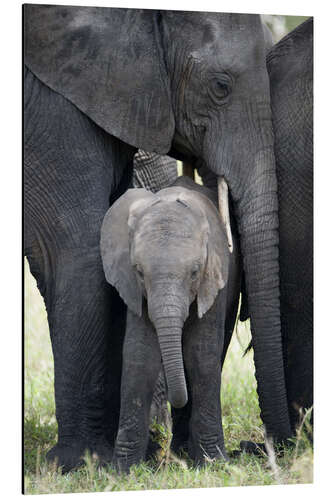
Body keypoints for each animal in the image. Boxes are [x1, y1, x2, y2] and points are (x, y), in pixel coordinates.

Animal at [100, 177, 240, 472]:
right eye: (139, 272)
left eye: (195, 272)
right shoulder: (134, 288)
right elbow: (140, 355)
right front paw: (122, 471)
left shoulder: (215, 277)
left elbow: (201, 355)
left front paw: (213, 464)